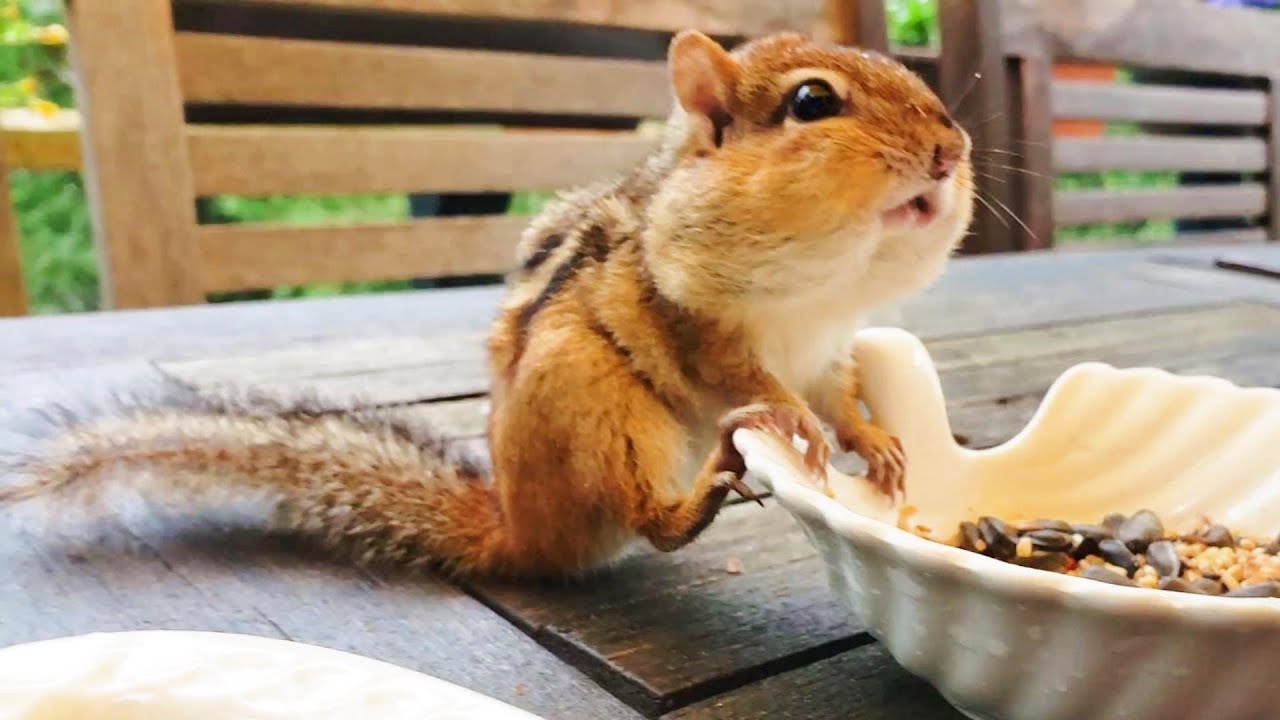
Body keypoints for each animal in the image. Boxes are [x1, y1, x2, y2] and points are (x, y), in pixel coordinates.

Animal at [0, 30, 973, 579]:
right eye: (813, 101)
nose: (950, 147)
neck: (823, 289)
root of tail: (518, 528)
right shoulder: (693, 320)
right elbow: (746, 378)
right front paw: (788, 421)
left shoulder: (831, 347)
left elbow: (841, 396)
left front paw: (879, 445)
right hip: (597, 397)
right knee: (645, 522)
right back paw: (698, 493)